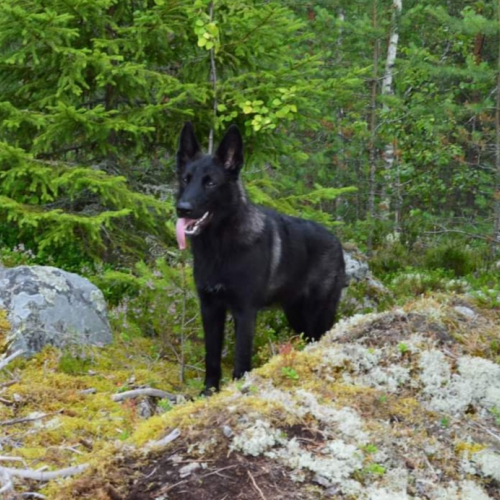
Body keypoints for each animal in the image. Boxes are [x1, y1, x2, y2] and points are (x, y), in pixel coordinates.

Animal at [175, 123, 344, 392]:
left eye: (210, 183)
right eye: (185, 179)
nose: (182, 208)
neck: (219, 246)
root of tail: (337, 242)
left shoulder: (244, 312)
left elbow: (241, 359)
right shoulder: (210, 308)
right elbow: (211, 357)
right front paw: (208, 392)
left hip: (318, 314)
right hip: (296, 315)